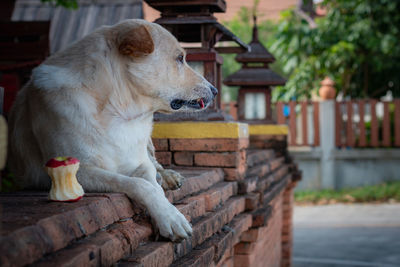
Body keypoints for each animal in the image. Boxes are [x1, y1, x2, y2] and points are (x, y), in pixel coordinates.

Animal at [7, 19, 219, 242]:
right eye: (179, 58)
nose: (215, 91)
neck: (119, 110)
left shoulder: (140, 163)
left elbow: (153, 184)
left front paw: (168, 214)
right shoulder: (79, 172)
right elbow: (140, 185)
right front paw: (169, 217)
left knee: (155, 162)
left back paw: (167, 176)